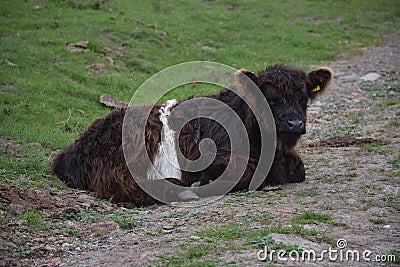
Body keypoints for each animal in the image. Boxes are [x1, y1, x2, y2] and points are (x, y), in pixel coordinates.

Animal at [51, 65, 332, 207]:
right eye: (270, 98)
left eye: (304, 98)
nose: (294, 124)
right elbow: (248, 174)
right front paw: (202, 184)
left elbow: (298, 169)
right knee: (125, 187)